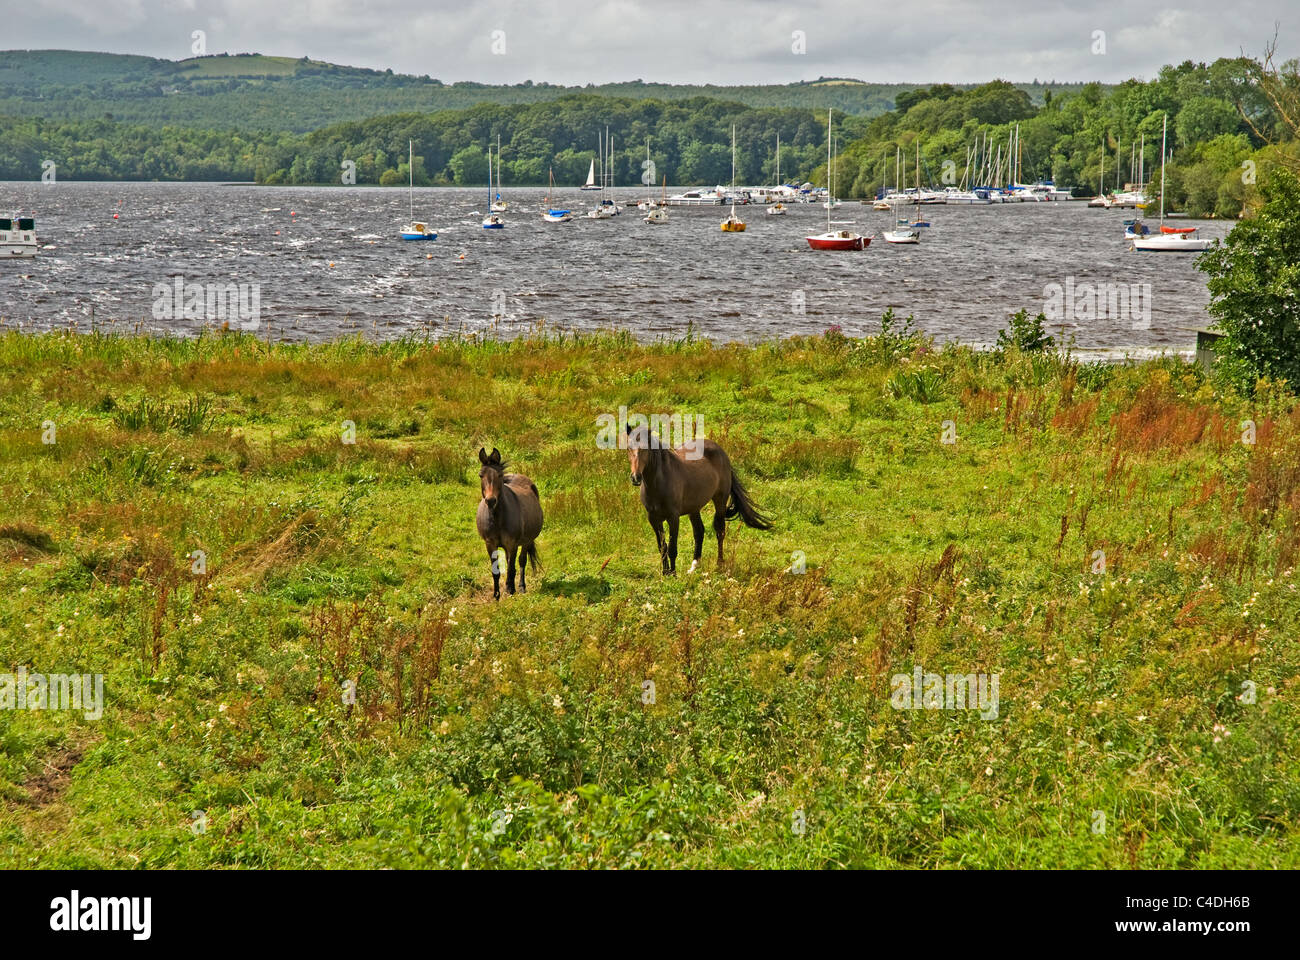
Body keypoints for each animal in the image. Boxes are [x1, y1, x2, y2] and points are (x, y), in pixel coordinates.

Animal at [475, 442, 540, 595]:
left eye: (499, 475)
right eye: (481, 475)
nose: (490, 501)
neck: (497, 519)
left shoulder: (513, 543)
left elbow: (511, 567)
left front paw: (510, 589)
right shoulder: (490, 544)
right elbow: (496, 571)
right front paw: (497, 594)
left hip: (526, 540)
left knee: (522, 561)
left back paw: (521, 586)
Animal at [624, 424, 764, 572]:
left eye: (645, 448)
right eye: (628, 448)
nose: (635, 477)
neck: (659, 483)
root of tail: (721, 451)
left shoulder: (673, 518)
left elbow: (672, 548)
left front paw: (673, 574)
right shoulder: (653, 518)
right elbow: (662, 547)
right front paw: (665, 573)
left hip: (720, 500)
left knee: (720, 530)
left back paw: (719, 563)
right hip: (694, 508)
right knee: (699, 531)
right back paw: (694, 565)